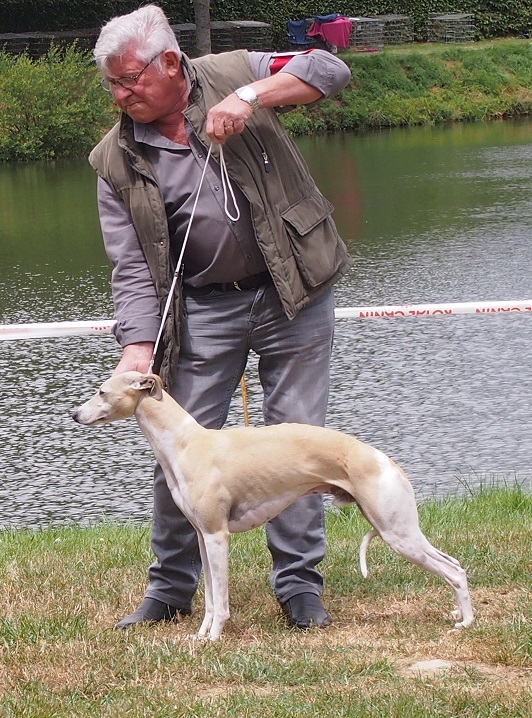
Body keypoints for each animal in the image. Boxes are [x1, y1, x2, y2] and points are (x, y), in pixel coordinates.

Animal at [71, 372, 474, 640]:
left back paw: (466, 622)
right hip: (399, 530)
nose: (75, 415)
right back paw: (459, 611)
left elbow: (222, 600)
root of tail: (386, 461)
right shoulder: (202, 535)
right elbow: (209, 597)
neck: (186, 443)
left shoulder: (217, 535)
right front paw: (200, 635)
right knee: (454, 564)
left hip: (397, 531)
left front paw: (213, 639)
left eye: (102, 391)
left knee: (453, 570)